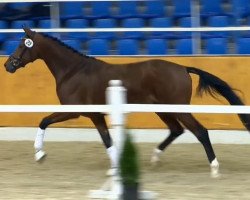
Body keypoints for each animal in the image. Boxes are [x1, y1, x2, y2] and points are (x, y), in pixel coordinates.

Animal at [3, 27, 250, 177]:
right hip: (163, 109)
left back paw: (214, 168)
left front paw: (40, 155)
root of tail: (182, 68)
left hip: (179, 109)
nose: (8, 65)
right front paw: (116, 170)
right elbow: (108, 141)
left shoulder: (74, 111)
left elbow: (44, 121)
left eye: (22, 45)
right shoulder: (96, 116)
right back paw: (154, 158)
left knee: (200, 131)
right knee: (176, 130)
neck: (73, 71)